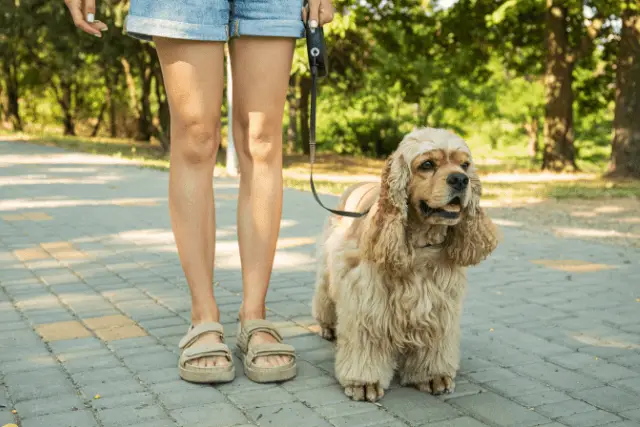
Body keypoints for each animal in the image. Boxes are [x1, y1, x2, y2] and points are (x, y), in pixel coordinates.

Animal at [312, 126, 502, 402]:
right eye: (427, 164)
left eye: (465, 165)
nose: (460, 180)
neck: (422, 242)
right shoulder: (366, 297)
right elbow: (365, 342)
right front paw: (364, 382)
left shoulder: (440, 302)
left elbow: (435, 343)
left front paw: (433, 376)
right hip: (330, 269)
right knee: (324, 297)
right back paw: (327, 327)